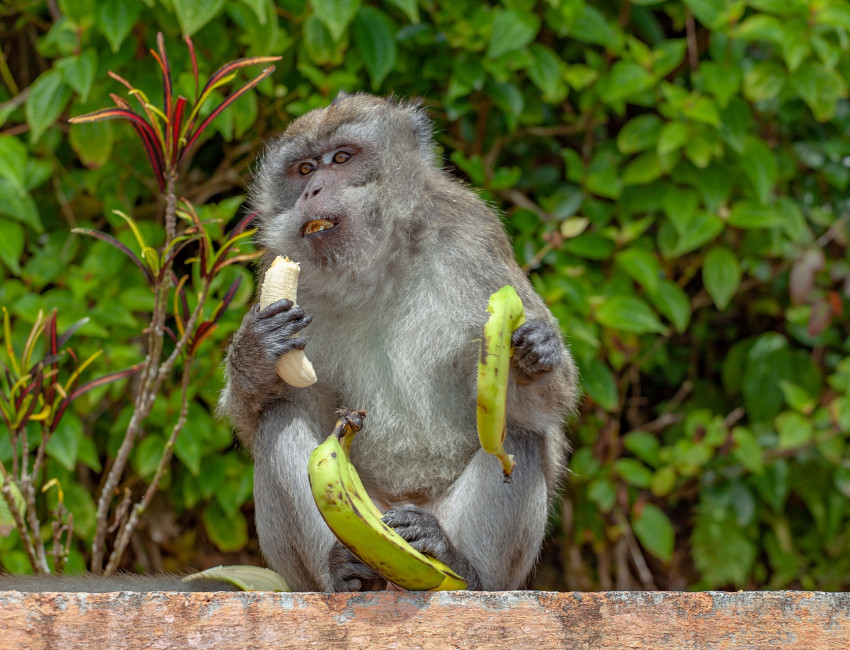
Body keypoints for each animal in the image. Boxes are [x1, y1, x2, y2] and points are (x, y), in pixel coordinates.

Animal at [215, 93, 580, 588]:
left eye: (342, 158)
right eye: (304, 169)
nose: (312, 191)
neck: (379, 266)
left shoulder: (473, 240)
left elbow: (549, 409)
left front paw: (531, 356)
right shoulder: (282, 266)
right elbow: (255, 420)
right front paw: (255, 352)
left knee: (519, 434)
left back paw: (461, 566)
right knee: (278, 419)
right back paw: (342, 575)